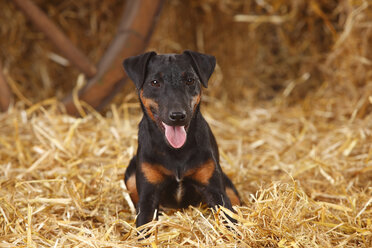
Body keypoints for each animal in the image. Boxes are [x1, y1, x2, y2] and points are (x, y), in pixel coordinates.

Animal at [122, 49, 241, 228]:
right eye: (154, 82)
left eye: (190, 80)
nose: (178, 116)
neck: (175, 151)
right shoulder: (148, 194)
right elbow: (143, 226)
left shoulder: (216, 190)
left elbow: (229, 220)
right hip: (130, 174)